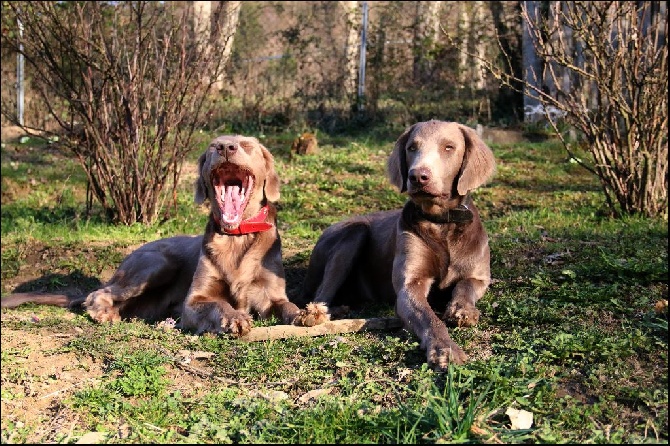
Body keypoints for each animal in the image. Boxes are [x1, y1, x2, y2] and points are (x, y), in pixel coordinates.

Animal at [1, 134, 328, 336]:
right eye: (213, 146)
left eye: (246, 145)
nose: (225, 147)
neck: (236, 238)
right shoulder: (194, 301)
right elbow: (217, 304)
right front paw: (235, 318)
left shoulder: (269, 294)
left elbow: (285, 305)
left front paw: (308, 313)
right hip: (156, 264)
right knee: (97, 294)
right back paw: (104, 312)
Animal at [300, 121, 498, 370]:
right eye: (412, 148)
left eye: (449, 147)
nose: (418, 176)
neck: (440, 223)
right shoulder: (409, 286)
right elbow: (430, 318)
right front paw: (445, 349)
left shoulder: (478, 276)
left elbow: (466, 286)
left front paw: (463, 310)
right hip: (353, 232)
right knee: (320, 292)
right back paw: (317, 313)